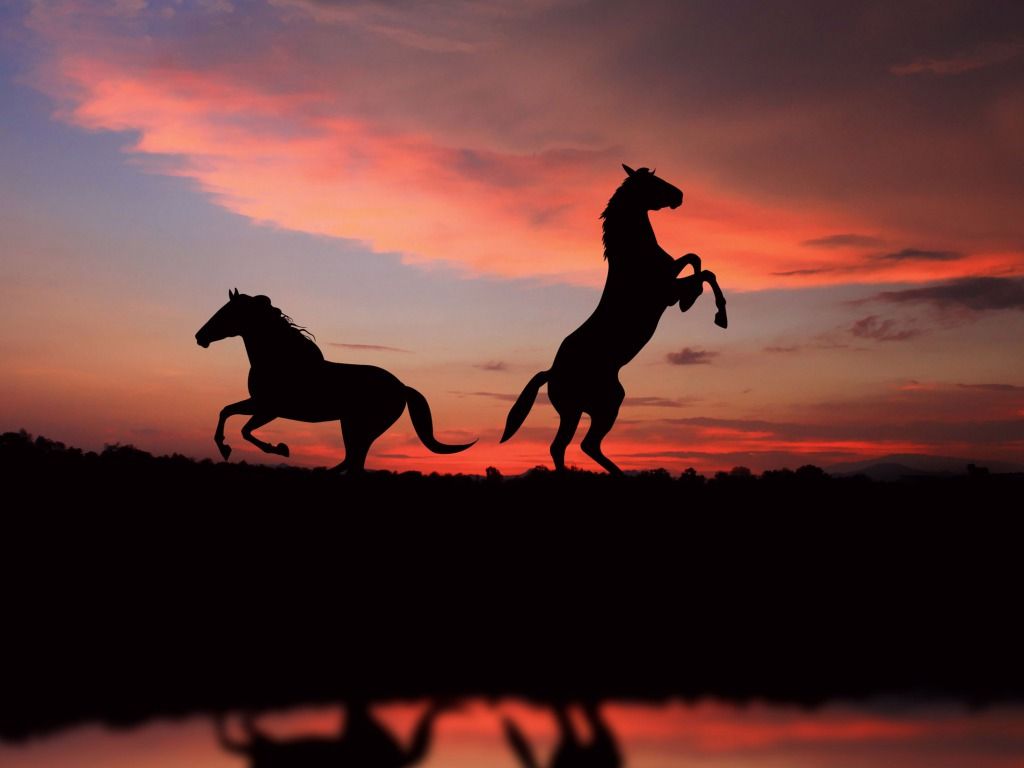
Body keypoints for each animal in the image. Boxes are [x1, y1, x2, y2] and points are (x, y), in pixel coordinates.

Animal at [195, 290, 475, 471]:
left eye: (226, 313)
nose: (200, 337)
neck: (281, 359)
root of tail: (402, 387)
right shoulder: (259, 404)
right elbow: (226, 411)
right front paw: (225, 448)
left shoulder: (270, 408)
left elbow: (244, 429)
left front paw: (281, 448)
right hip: (353, 425)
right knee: (354, 462)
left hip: (361, 426)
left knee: (353, 460)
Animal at [501, 164, 727, 474]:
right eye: (653, 182)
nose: (679, 195)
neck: (634, 254)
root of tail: (551, 372)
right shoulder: (665, 290)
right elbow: (701, 269)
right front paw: (712, 311)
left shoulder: (669, 280)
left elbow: (697, 262)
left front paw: (699, 303)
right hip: (595, 406)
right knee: (576, 445)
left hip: (589, 407)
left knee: (573, 446)